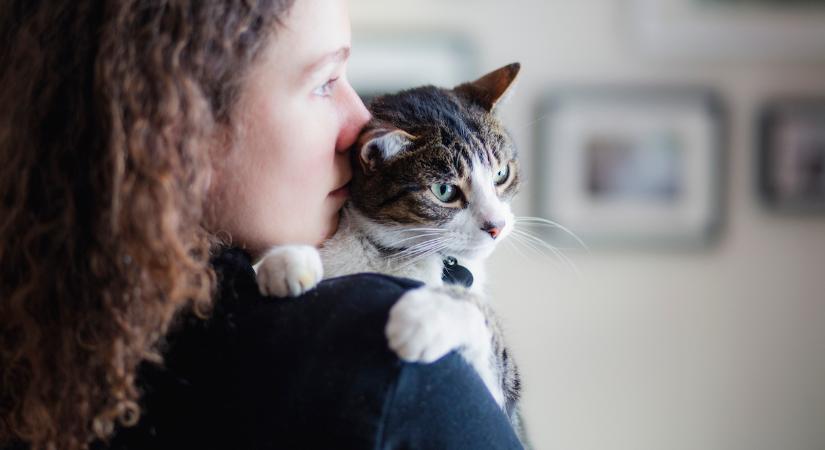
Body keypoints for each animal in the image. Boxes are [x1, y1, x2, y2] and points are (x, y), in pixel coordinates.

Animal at [258, 62, 524, 436]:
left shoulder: (504, 402)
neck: (393, 255)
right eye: (444, 191)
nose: (496, 226)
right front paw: (284, 262)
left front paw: (426, 316)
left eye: (501, 173)